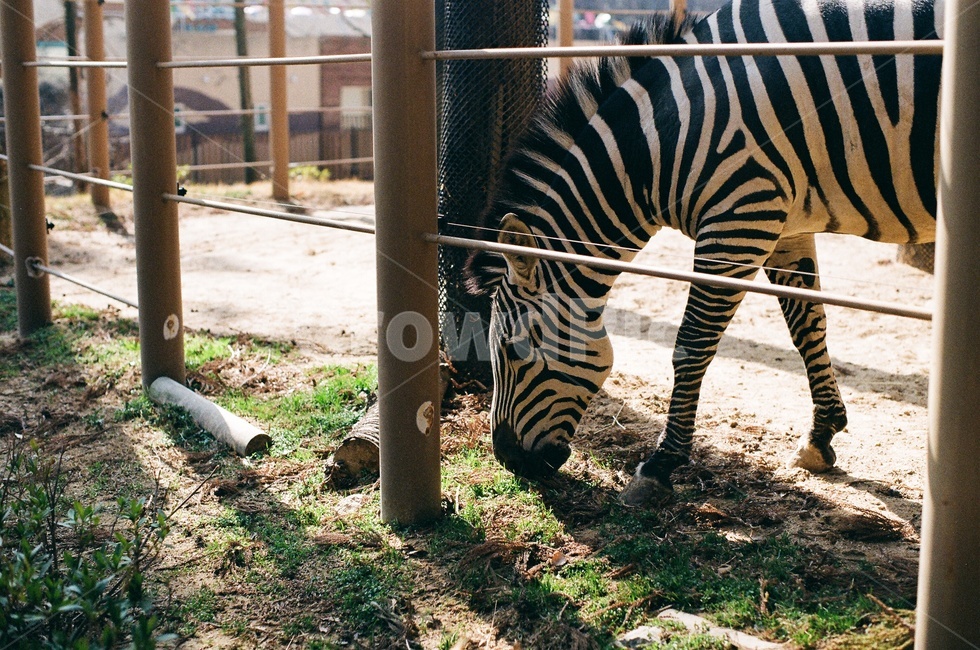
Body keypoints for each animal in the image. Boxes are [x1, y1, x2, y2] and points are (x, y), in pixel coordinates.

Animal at [464, 0, 941, 505]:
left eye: (514, 351)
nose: (508, 461)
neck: (659, 140)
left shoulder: (741, 216)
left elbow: (692, 345)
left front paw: (660, 466)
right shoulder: (784, 222)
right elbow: (807, 326)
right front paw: (820, 436)